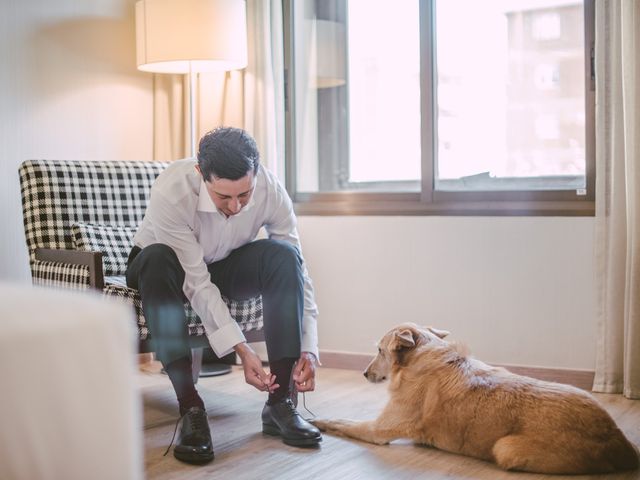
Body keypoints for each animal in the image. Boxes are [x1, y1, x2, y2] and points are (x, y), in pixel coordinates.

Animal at [312, 322, 636, 472]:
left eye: (379, 351)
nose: (364, 373)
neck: (420, 359)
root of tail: (619, 441)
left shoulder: (377, 430)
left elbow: (343, 421)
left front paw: (319, 421)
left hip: (505, 448)